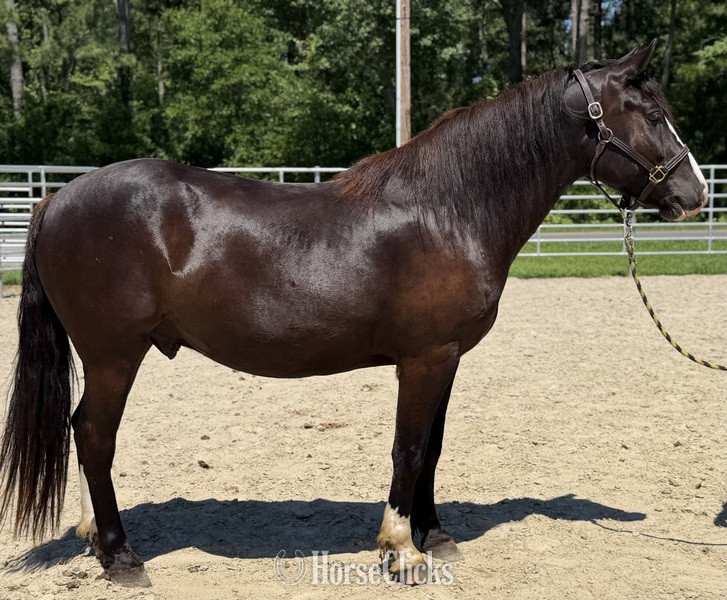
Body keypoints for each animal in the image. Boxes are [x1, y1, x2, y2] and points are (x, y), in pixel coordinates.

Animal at [0, 41, 708, 585]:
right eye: (650, 113)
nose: (695, 193)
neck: (447, 209)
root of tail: (56, 199)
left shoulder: (444, 359)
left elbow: (433, 447)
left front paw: (434, 535)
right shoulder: (423, 359)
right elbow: (409, 447)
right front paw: (402, 551)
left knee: (83, 435)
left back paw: (93, 536)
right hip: (114, 355)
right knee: (93, 434)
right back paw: (121, 557)